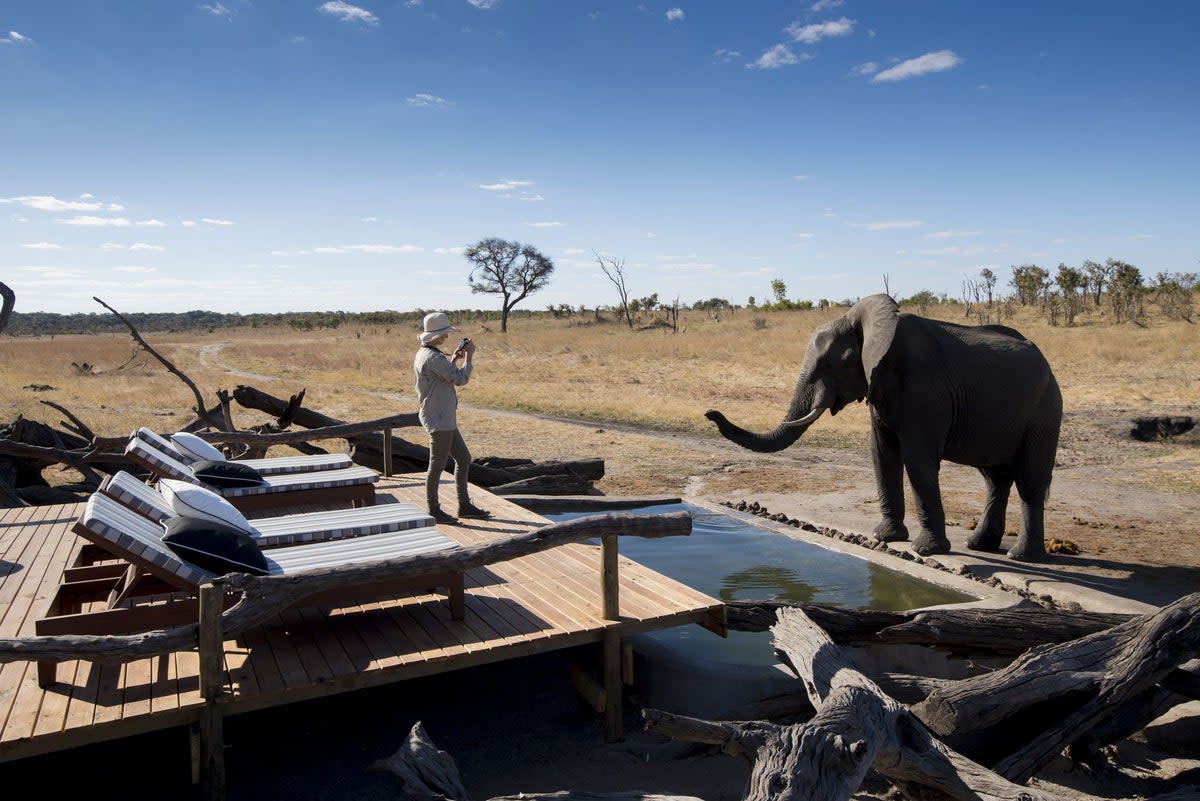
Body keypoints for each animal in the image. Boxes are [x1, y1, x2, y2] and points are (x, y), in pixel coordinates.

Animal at [700, 293, 1060, 563]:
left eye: (828, 364)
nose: (710, 412)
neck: (868, 325)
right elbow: (882, 453)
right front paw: (885, 537)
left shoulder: (924, 388)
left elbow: (917, 459)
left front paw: (924, 550)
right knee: (995, 478)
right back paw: (979, 545)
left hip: (1044, 412)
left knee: (1029, 481)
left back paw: (1020, 557)